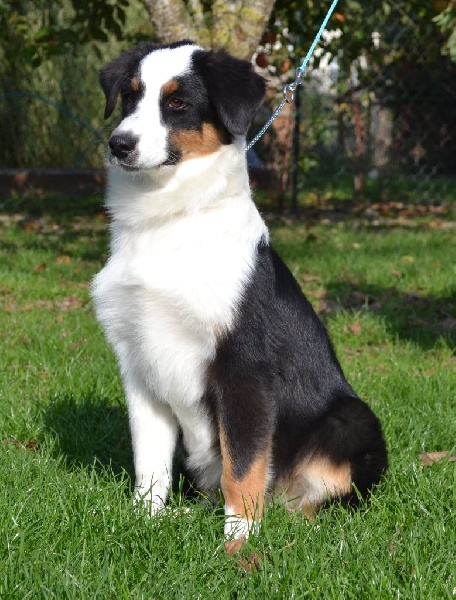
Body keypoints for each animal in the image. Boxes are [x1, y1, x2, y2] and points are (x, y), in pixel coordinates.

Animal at [92, 40, 387, 552]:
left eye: (177, 103)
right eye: (130, 96)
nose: (119, 144)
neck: (170, 222)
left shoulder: (244, 368)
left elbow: (245, 462)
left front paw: (239, 538)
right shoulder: (140, 363)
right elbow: (150, 462)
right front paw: (146, 520)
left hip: (354, 418)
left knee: (320, 499)